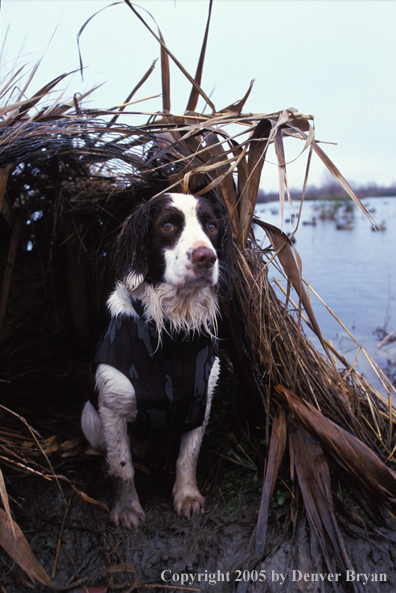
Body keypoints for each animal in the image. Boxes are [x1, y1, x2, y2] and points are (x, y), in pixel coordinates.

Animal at [82, 191, 234, 528]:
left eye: (212, 226)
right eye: (167, 225)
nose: (206, 257)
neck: (173, 333)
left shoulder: (201, 402)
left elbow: (188, 456)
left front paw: (187, 496)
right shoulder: (111, 408)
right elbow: (121, 466)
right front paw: (126, 508)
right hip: (90, 418)